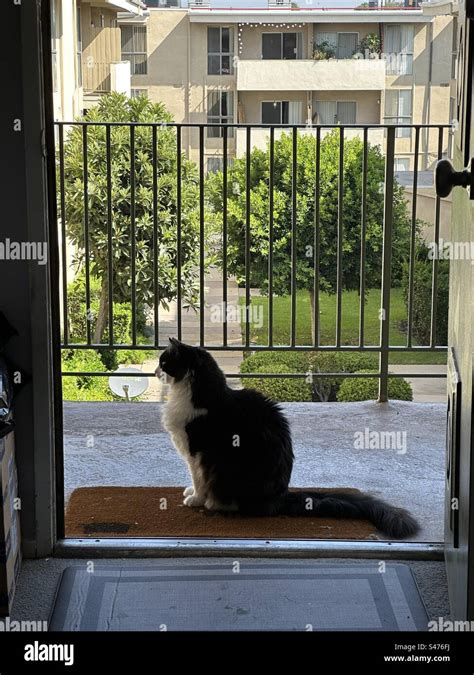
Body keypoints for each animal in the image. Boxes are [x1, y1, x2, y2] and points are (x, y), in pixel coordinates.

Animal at [158, 338, 418, 540]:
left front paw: (195, 498)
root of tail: (280, 496)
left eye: (164, 362)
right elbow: (196, 478)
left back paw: (215, 503)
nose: (156, 371)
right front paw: (191, 493)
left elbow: (200, 479)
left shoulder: (197, 451)